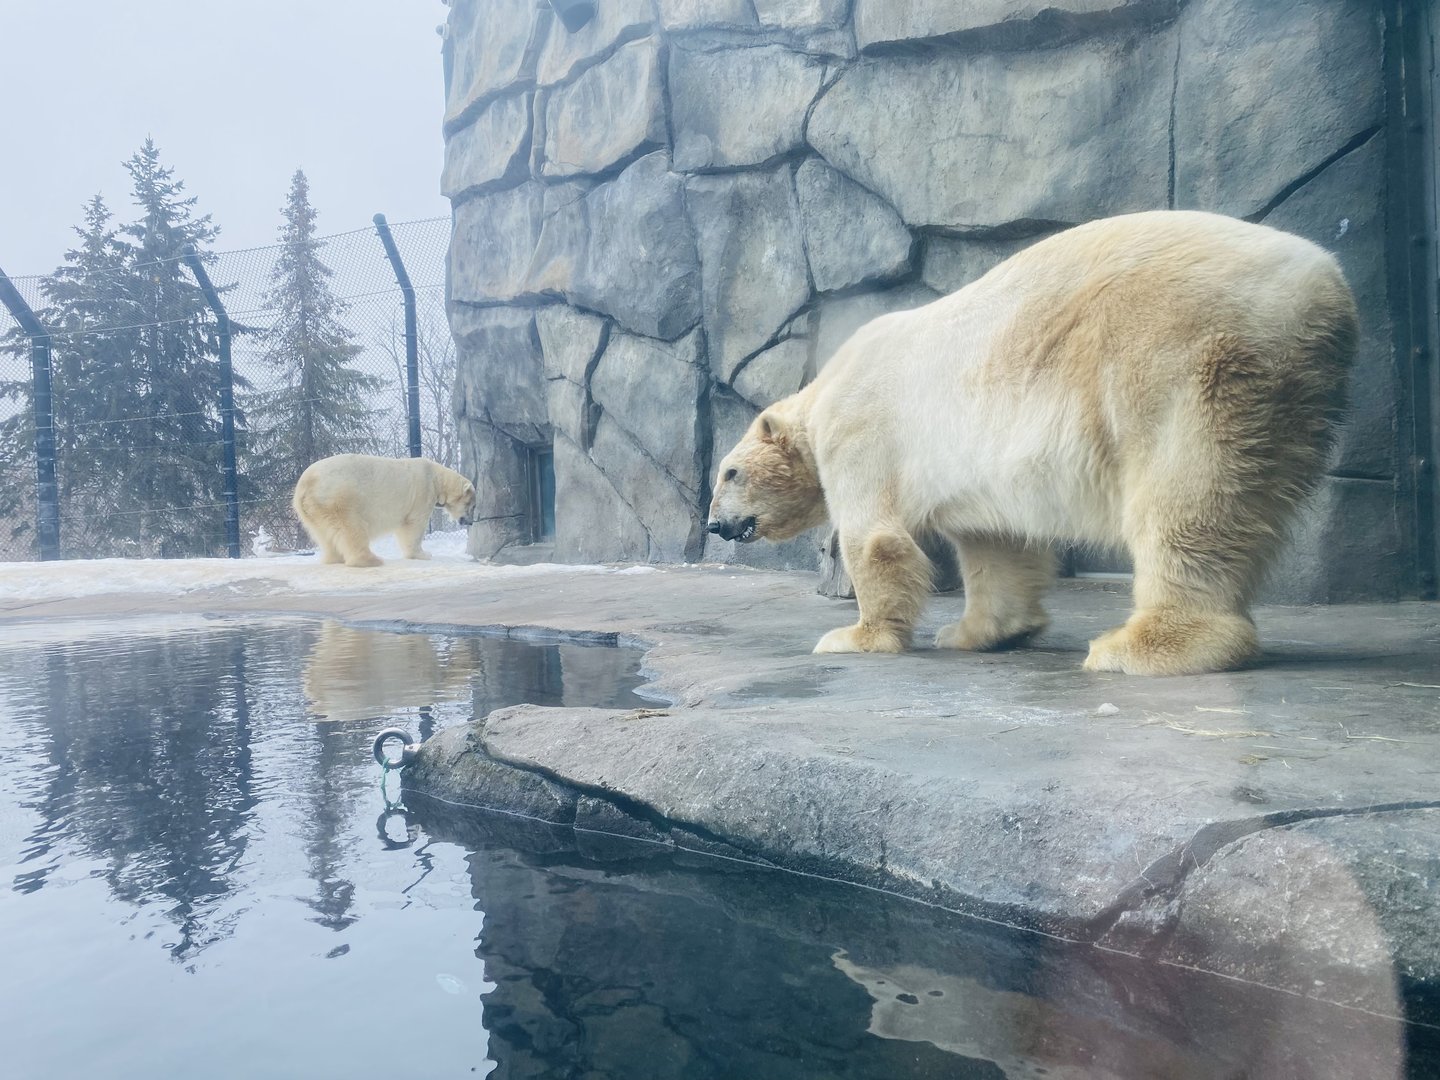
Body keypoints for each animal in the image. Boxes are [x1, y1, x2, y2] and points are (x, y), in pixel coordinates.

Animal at [292, 453, 476, 568]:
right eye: (471, 505)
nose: (470, 521)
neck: (436, 477)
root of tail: (305, 484)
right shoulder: (422, 493)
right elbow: (414, 526)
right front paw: (424, 554)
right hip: (340, 497)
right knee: (351, 528)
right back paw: (371, 560)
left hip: (312, 509)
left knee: (323, 533)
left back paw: (334, 558)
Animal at [707, 210, 1358, 676]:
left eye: (728, 473)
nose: (714, 524)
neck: (821, 399)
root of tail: (1322, 287)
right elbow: (997, 546)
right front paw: (976, 632)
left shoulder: (861, 429)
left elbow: (875, 539)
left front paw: (855, 636)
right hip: (1288, 393)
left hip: (1179, 358)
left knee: (1184, 493)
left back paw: (1139, 646)